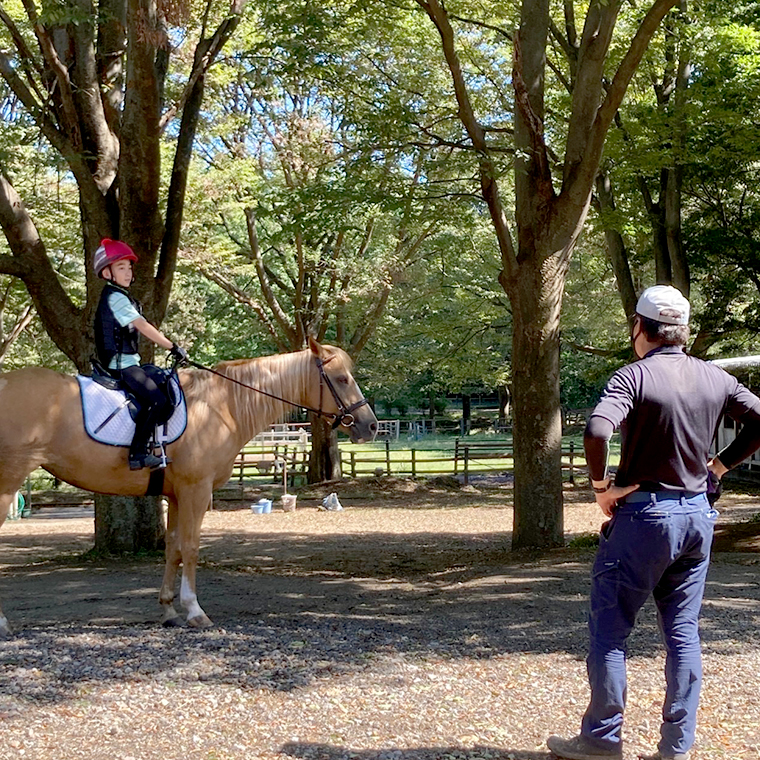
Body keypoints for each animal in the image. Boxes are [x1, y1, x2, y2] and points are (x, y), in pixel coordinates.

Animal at [0, 340, 378, 636]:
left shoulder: (175, 494)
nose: (370, 426)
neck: (221, 406)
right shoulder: (196, 491)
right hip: (6, 485)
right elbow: (192, 547)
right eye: (342, 379)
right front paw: (195, 612)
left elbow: (173, 548)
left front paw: (169, 611)